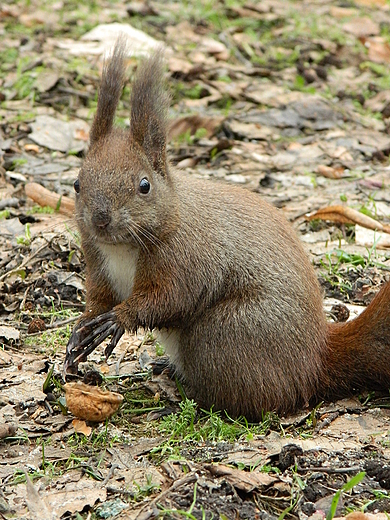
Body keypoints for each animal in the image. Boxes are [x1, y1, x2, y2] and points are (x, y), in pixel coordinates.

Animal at [64, 40, 390, 422]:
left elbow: (167, 298)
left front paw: (117, 319)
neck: (123, 246)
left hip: (226, 333)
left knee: (251, 400)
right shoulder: (97, 258)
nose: (100, 219)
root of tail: (315, 361)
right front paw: (81, 330)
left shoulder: (186, 257)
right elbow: (98, 299)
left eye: (144, 186)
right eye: (77, 184)